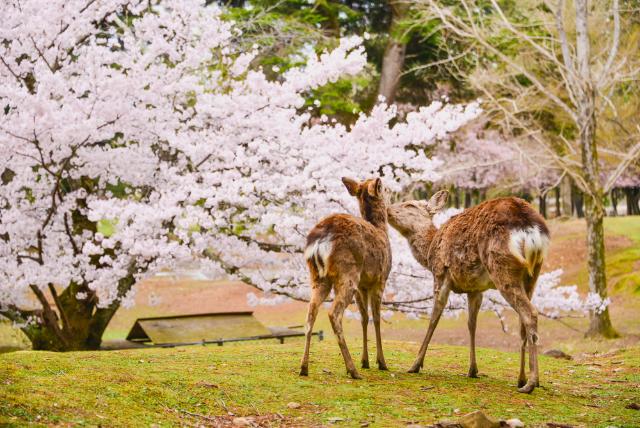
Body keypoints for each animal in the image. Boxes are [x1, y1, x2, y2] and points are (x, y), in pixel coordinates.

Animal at [302, 176, 396, 378]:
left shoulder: (363, 285)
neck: (381, 230)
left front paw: (366, 361)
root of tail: (320, 240)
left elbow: (364, 317)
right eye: (384, 188)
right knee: (333, 314)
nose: (391, 193)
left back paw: (304, 368)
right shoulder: (380, 279)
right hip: (348, 274)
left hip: (318, 277)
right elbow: (376, 317)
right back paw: (352, 369)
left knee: (311, 312)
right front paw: (381, 362)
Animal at [388, 192, 548, 392]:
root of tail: (531, 229)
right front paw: (472, 370)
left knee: (530, 313)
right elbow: (472, 324)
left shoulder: (441, 273)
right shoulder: (475, 289)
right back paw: (523, 379)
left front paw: (415, 365)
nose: (387, 209)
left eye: (410, 205)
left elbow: (434, 318)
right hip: (533, 274)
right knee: (522, 323)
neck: (429, 252)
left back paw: (531, 383)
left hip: (501, 266)